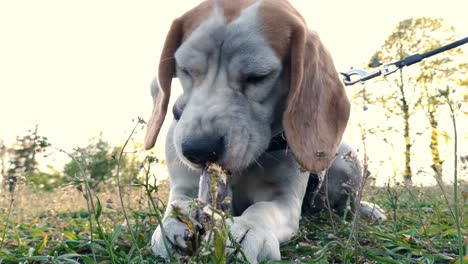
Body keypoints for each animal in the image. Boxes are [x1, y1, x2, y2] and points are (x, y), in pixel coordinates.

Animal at [145, 0, 384, 262]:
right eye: (185, 69)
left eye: (258, 77)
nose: (198, 149)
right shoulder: (184, 186)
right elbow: (179, 203)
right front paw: (174, 223)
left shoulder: (284, 199)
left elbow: (262, 209)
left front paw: (247, 230)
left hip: (347, 161)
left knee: (349, 202)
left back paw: (368, 209)